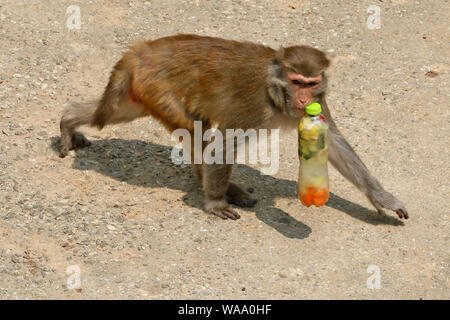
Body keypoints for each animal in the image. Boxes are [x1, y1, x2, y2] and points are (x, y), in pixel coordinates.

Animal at [59, 34, 408, 220]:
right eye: (297, 82)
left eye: (312, 83)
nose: (304, 97)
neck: (276, 93)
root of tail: (141, 49)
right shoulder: (253, 106)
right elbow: (224, 145)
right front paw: (214, 203)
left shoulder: (319, 103)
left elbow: (333, 143)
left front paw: (381, 198)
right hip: (158, 88)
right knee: (195, 131)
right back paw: (217, 190)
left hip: (142, 92)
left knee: (115, 113)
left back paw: (69, 119)